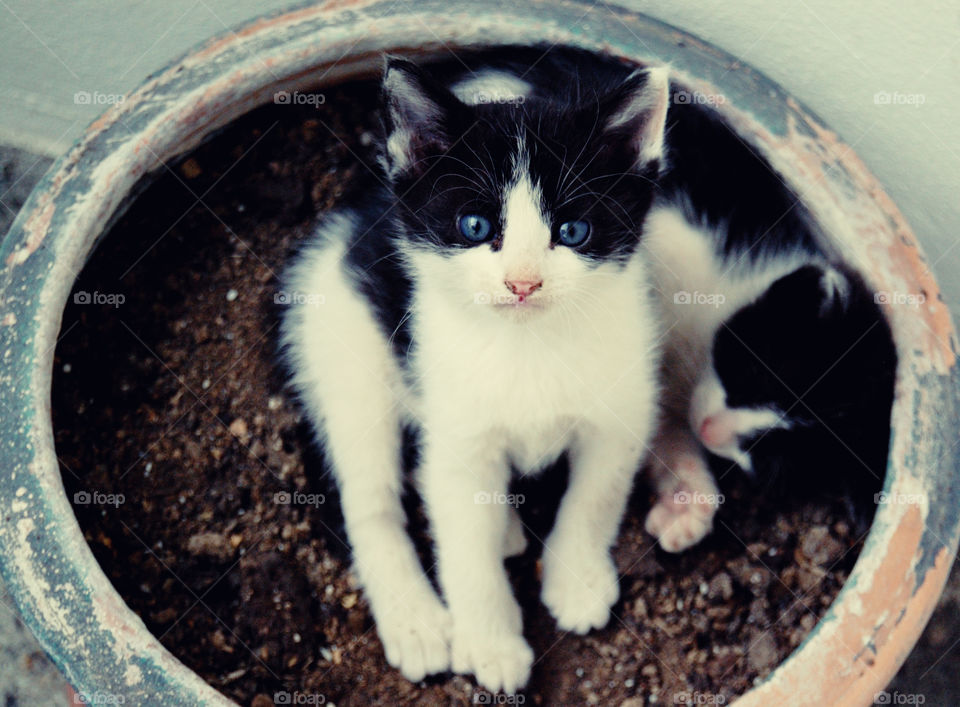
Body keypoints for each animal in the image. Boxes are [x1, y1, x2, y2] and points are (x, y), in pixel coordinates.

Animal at [278, 54, 668, 692]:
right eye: (476, 227)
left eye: (573, 231)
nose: (522, 283)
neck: (526, 343)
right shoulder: (457, 432)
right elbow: (462, 541)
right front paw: (491, 643)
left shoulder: (623, 403)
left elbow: (596, 493)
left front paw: (577, 579)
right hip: (341, 345)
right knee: (369, 497)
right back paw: (416, 620)